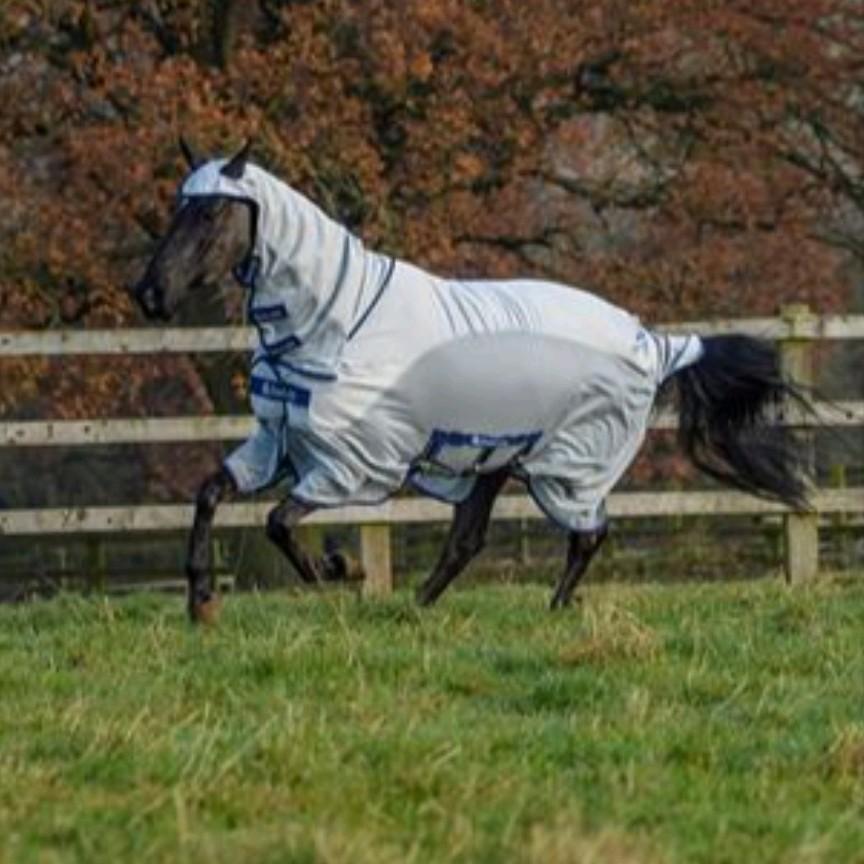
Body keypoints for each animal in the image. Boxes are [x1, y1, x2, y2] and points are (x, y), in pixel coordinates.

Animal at [134, 141, 810, 623]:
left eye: (212, 210)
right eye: (178, 207)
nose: (149, 294)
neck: (337, 319)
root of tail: (655, 341)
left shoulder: (352, 465)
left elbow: (277, 522)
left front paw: (339, 568)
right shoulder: (279, 443)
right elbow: (209, 493)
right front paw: (201, 600)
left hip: (567, 466)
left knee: (588, 534)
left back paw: (552, 608)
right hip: (492, 459)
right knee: (470, 540)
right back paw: (419, 608)